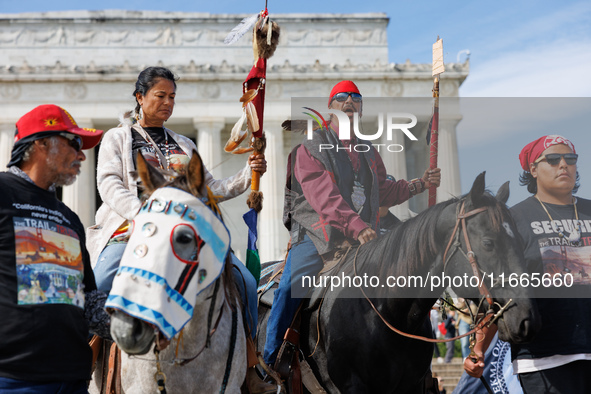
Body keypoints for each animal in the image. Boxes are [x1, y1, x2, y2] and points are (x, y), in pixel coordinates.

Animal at [258, 174, 540, 392]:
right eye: (488, 243)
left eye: (519, 240)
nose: (526, 319)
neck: (385, 313)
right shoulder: (349, 386)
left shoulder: (410, 386)